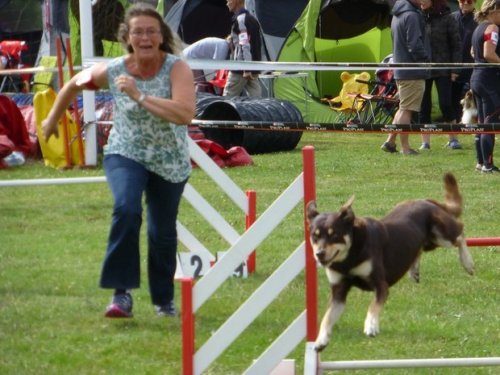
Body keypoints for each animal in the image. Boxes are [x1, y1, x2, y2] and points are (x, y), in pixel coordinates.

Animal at [306, 173, 474, 352]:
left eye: (334, 235)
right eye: (315, 236)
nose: (319, 254)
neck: (349, 257)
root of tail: (425, 200)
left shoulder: (381, 285)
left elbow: (373, 306)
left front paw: (371, 325)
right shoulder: (338, 292)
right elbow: (327, 317)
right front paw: (320, 340)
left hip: (441, 235)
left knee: (460, 234)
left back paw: (468, 263)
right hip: (428, 242)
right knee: (420, 250)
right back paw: (414, 271)